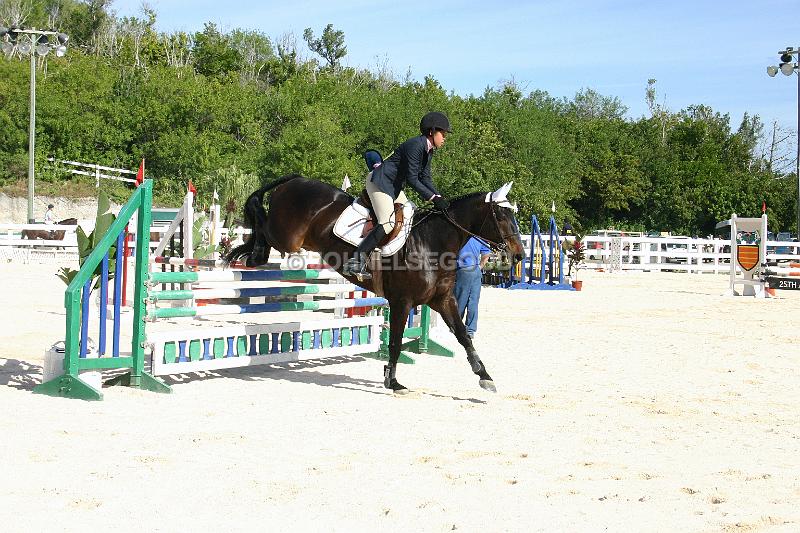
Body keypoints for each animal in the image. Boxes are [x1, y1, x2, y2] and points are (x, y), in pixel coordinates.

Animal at [227, 176, 524, 394]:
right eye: (500, 215)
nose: (519, 254)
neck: (432, 242)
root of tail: (294, 180)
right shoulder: (402, 302)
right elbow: (394, 342)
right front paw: (393, 381)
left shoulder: (442, 300)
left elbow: (463, 336)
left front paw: (484, 376)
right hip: (286, 237)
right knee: (262, 225)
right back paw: (248, 253)